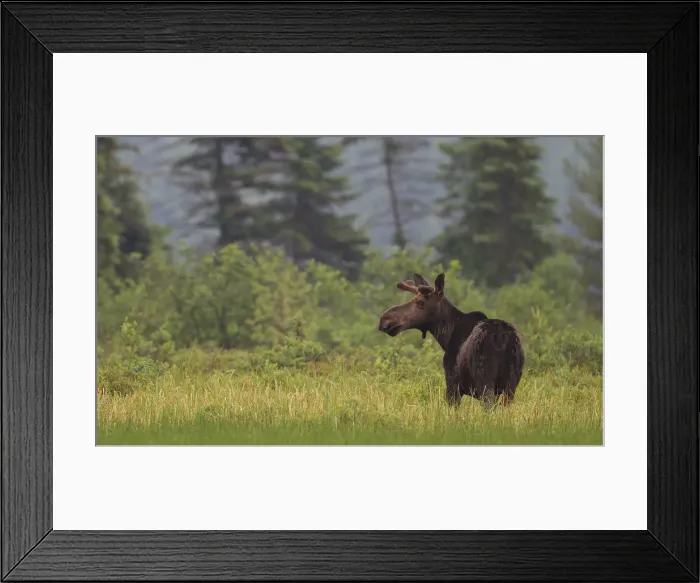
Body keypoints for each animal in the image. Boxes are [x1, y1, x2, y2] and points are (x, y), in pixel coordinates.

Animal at [378, 272, 525, 408]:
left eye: (421, 303)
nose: (385, 320)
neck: (445, 337)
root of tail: (500, 336)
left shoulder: (452, 383)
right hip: (511, 384)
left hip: (485, 381)